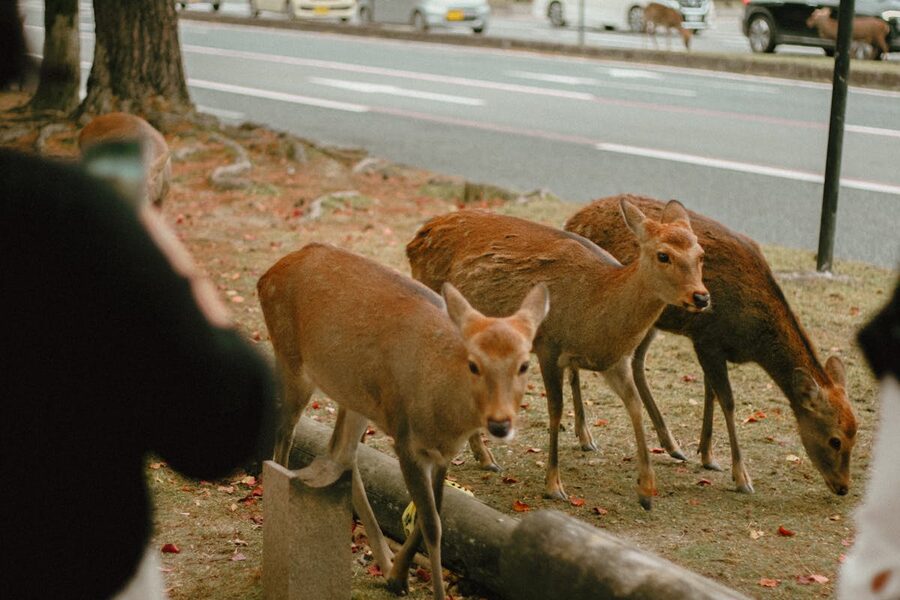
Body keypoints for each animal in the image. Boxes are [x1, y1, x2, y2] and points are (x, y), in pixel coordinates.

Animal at [258, 243, 549, 600]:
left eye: (524, 365)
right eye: (474, 364)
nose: (499, 423)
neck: (446, 421)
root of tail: (267, 275)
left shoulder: (441, 454)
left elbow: (432, 513)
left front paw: (399, 575)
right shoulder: (406, 439)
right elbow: (432, 524)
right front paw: (434, 592)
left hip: (354, 395)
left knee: (341, 452)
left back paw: (384, 562)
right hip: (292, 361)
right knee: (285, 437)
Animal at [407, 200, 709, 509]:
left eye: (701, 255)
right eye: (663, 255)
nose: (701, 297)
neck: (595, 311)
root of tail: (416, 238)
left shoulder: (615, 362)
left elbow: (634, 405)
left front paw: (647, 491)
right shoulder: (548, 346)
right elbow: (555, 410)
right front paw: (553, 485)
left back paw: (484, 457)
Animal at [564, 194, 857, 496]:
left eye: (855, 436)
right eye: (834, 440)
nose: (843, 487)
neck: (754, 338)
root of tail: (572, 218)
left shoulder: (711, 346)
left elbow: (710, 393)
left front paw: (707, 455)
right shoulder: (707, 339)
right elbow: (726, 400)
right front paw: (741, 477)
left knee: (636, 361)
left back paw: (672, 445)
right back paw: (585, 436)